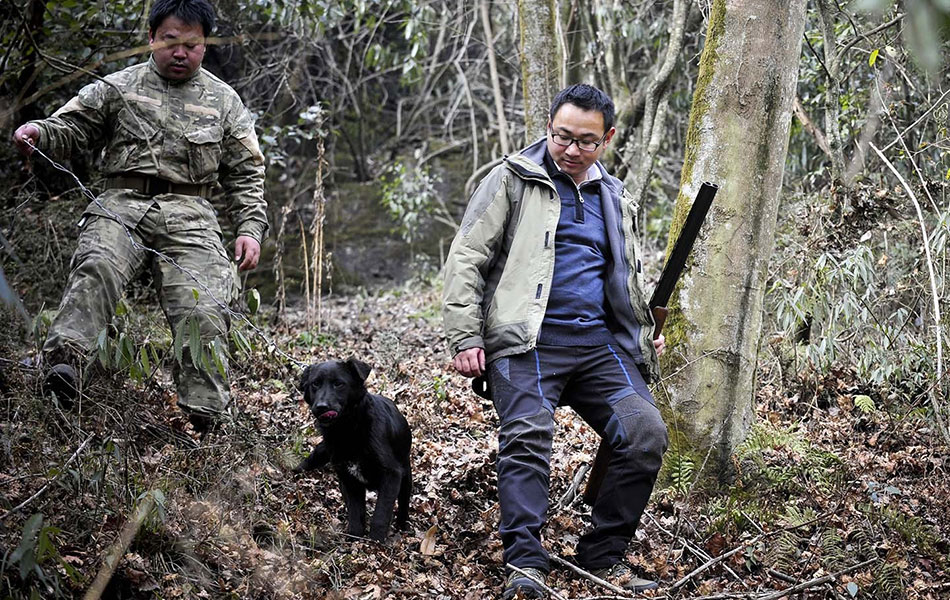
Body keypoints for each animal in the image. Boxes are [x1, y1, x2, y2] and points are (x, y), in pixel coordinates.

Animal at [294, 358, 412, 540]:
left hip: (406, 477)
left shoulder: (392, 474)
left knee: (403, 502)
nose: (321, 406)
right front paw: (356, 538)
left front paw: (376, 541)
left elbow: (381, 512)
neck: (348, 429)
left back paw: (401, 525)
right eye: (315, 384)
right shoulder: (348, 477)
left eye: (338, 384)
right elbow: (356, 512)